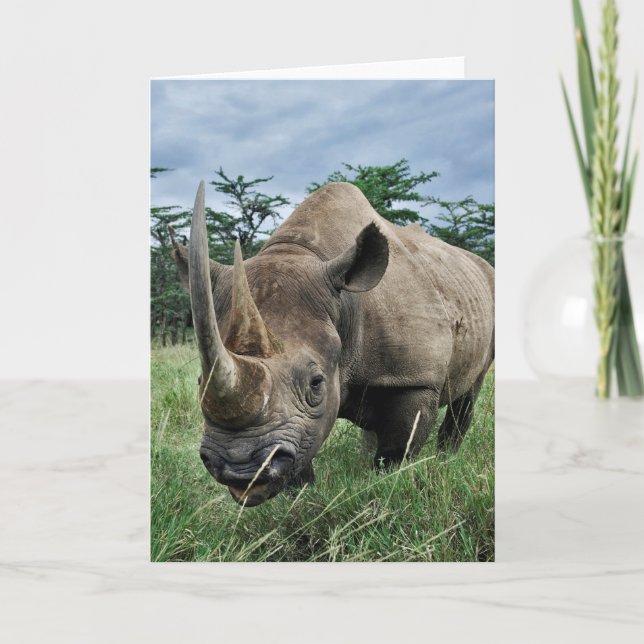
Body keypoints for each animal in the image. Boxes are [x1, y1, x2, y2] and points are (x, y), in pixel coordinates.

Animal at [171, 181, 494, 506]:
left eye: (316, 383)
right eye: (199, 382)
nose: (240, 469)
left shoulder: (415, 378)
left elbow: (396, 451)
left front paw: (386, 485)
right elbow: (302, 457)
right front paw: (302, 499)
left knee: (469, 392)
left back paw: (446, 459)